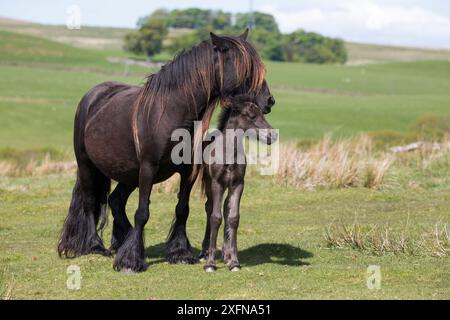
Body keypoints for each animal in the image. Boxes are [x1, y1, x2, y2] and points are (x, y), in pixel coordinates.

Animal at [198, 95, 276, 272]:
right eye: (251, 116)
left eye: (262, 113)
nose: (272, 135)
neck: (228, 153)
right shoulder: (217, 184)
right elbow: (215, 217)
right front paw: (210, 264)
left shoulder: (238, 184)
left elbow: (233, 218)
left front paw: (234, 262)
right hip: (209, 184)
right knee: (209, 208)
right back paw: (206, 252)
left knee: (226, 208)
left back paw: (226, 255)